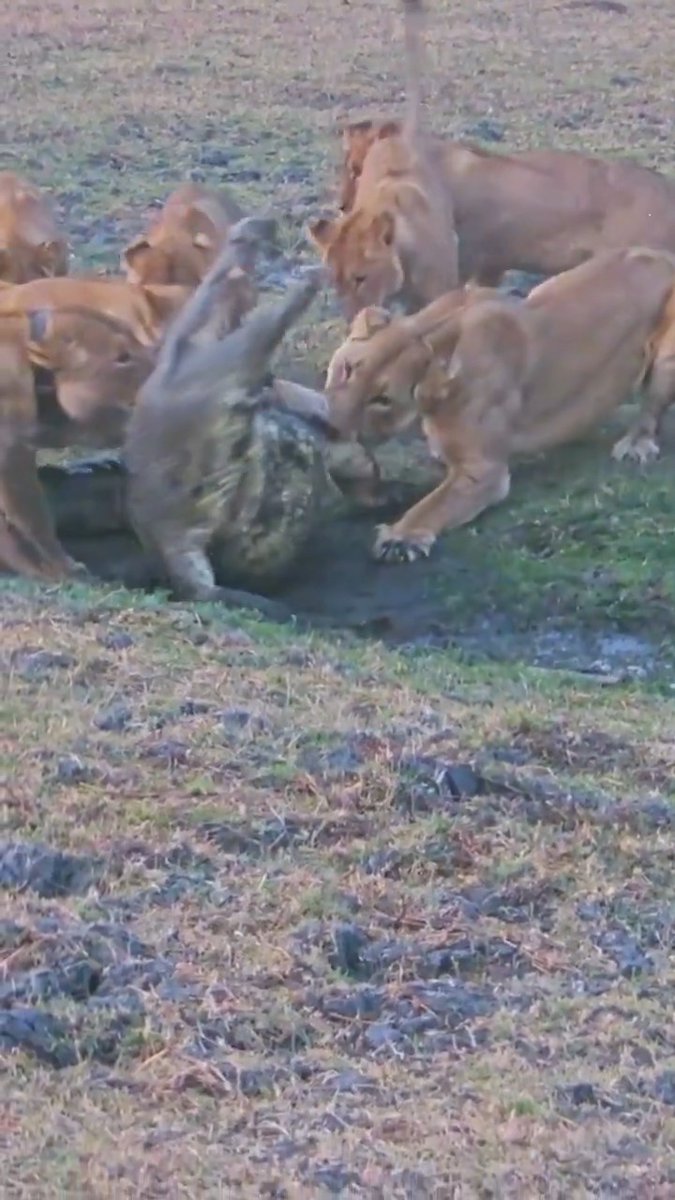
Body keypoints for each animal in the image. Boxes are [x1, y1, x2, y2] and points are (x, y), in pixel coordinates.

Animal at [323, 248, 675, 562]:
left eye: (381, 400)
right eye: (347, 369)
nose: (331, 427)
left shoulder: (484, 470)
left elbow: (433, 504)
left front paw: (400, 537)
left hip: (666, 359)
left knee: (650, 410)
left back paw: (635, 444)